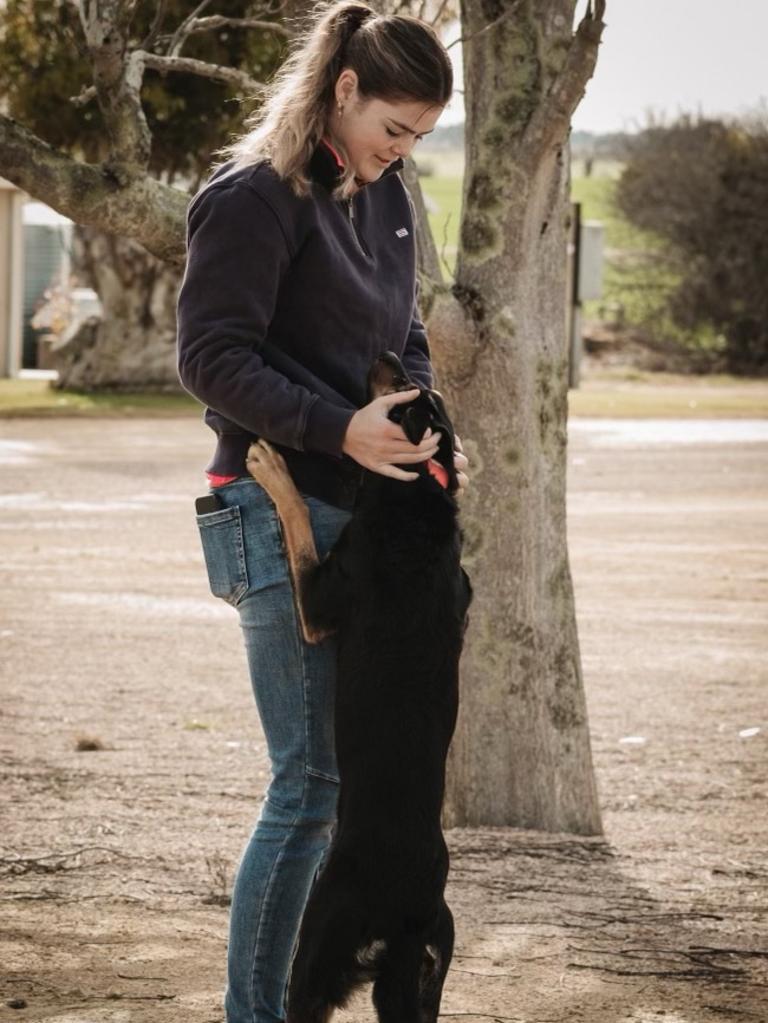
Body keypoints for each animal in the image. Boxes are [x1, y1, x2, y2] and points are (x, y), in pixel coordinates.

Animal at [249, 351, 472, 1023]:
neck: (417, 488)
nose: (391, 353)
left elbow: (297, 524)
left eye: (403, 388)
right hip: (423, 979)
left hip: (316, 951)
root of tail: (410, 912)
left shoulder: (320, 604)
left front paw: (272, 468)